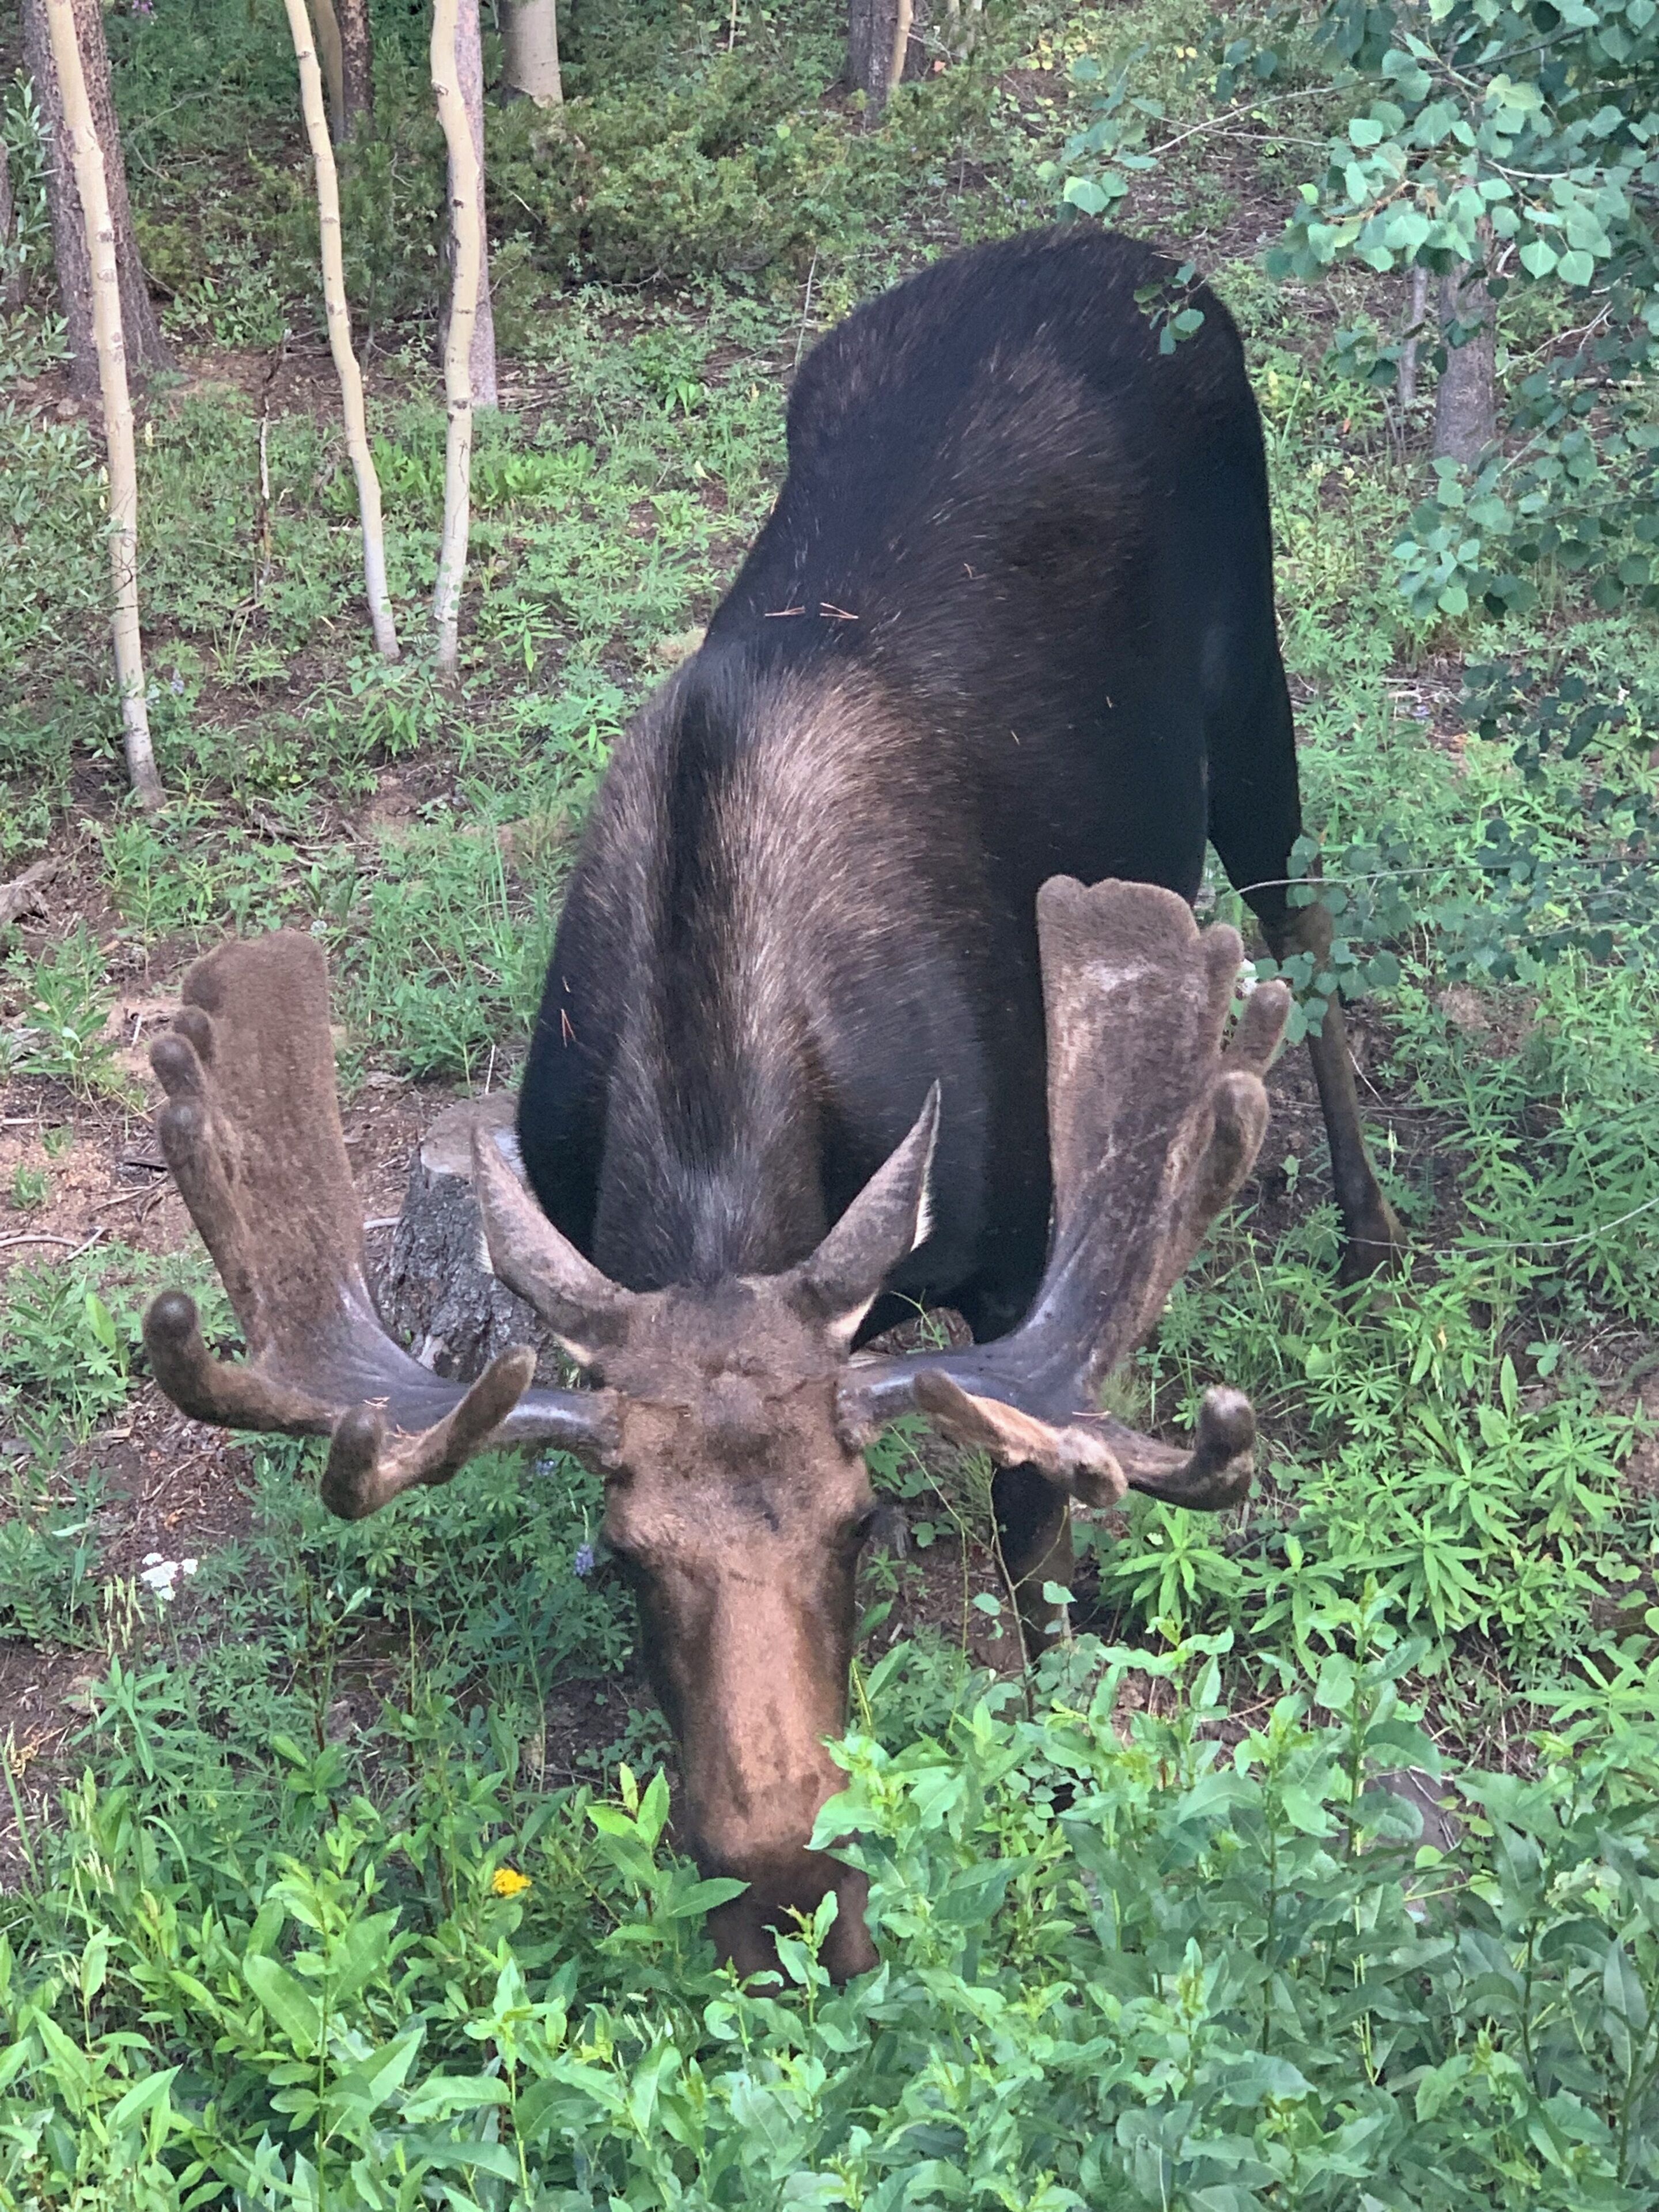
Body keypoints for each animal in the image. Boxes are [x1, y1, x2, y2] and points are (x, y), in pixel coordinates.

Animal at [140, 226, 1398, 1982]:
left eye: (858, 1527)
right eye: (627, 1553)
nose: (788, 1884)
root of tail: (1130, 252)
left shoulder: (1025, 1272)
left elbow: (1035, 1539)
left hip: (1253, 687)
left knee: (1308, 915)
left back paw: (1372, 1227)